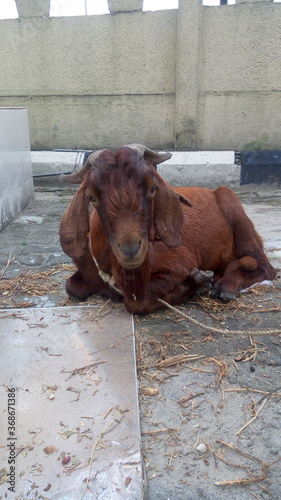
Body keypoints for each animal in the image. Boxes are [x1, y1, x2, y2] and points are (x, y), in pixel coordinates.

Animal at [59, 145, 276, 314]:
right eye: (91, 197)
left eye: (152, 188)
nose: (131, 250)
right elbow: (72, 287)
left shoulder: (177, 264)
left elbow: (137, 303)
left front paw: (197, 282)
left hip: (235, 211)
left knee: (265, 267)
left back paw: (225, 287)